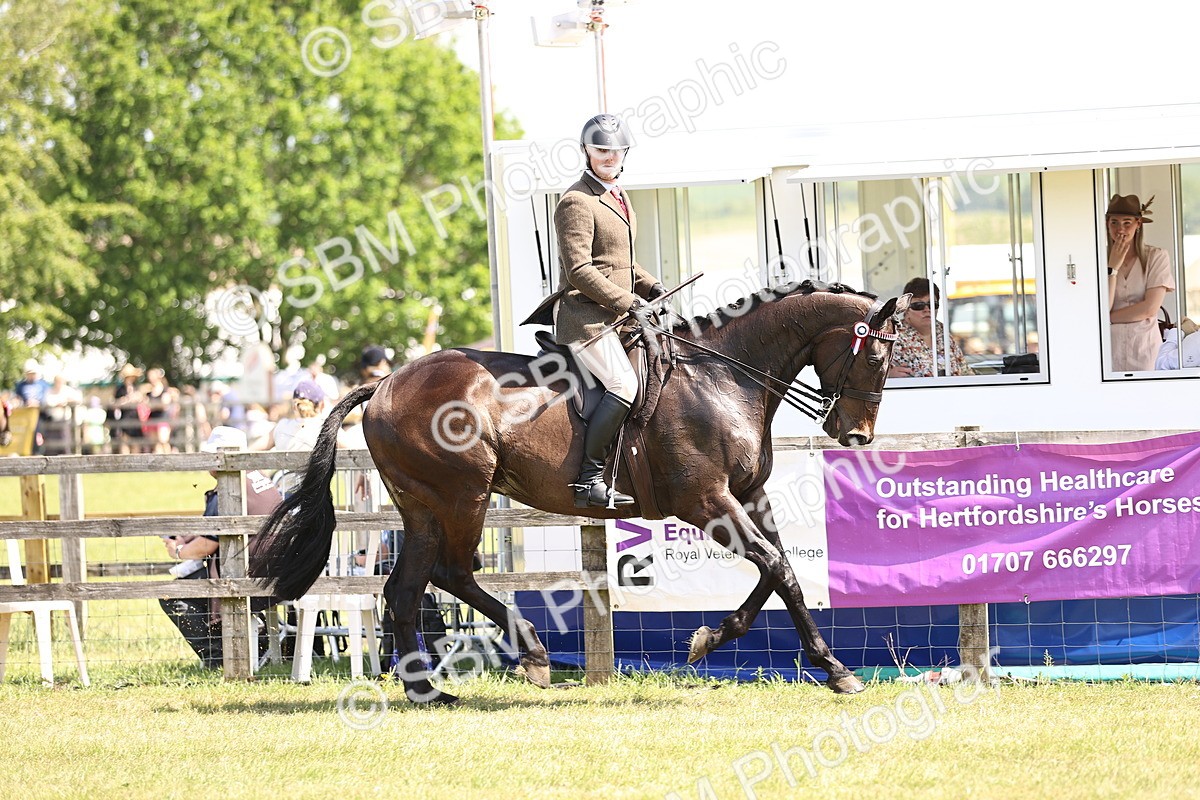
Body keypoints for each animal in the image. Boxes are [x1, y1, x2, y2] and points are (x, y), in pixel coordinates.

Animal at [251, 281, 907, 703]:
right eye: (878, 357)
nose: (856, 434)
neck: (723, 378)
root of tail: (386, 382)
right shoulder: (707, 502)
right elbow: (779, 569)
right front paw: (836, 670)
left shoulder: (746, 496)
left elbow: (778, 570)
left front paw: (710, 639)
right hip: (462, 496)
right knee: (449, 573)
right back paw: (529, 658)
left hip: (423, 507)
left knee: (410, 586)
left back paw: (430, 689)